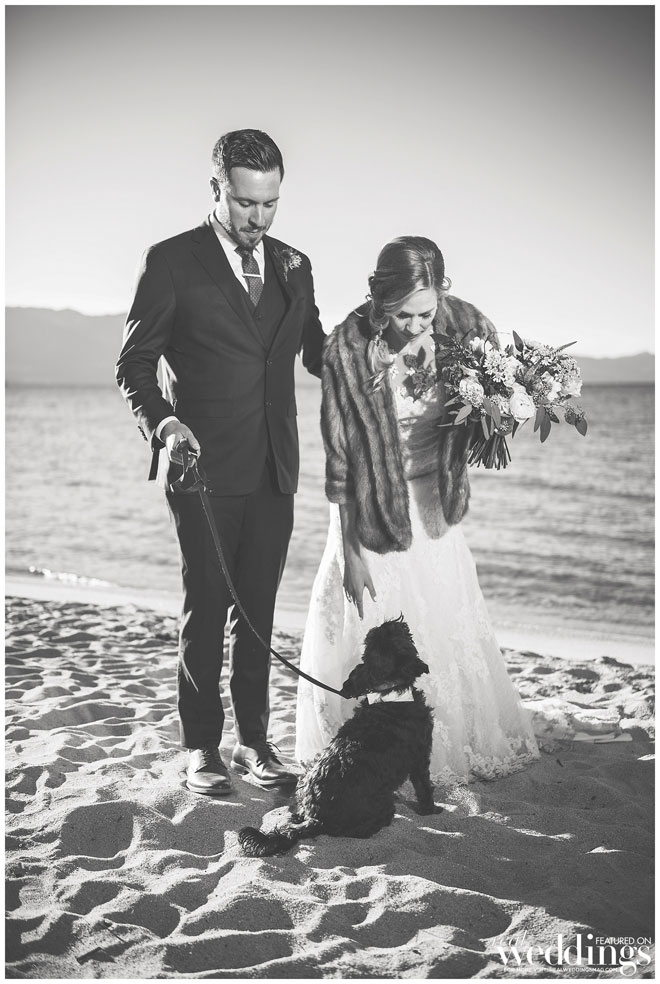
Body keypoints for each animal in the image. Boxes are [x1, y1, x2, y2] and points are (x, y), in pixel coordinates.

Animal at [238, 616, 437, 857]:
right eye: (393, 640)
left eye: (376, 643)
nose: (388, 624)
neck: (388, 697)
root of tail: (315, 818)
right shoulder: (420, 756)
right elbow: (424, 786)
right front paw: (431, 810)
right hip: (380, 806)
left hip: (305, 779)